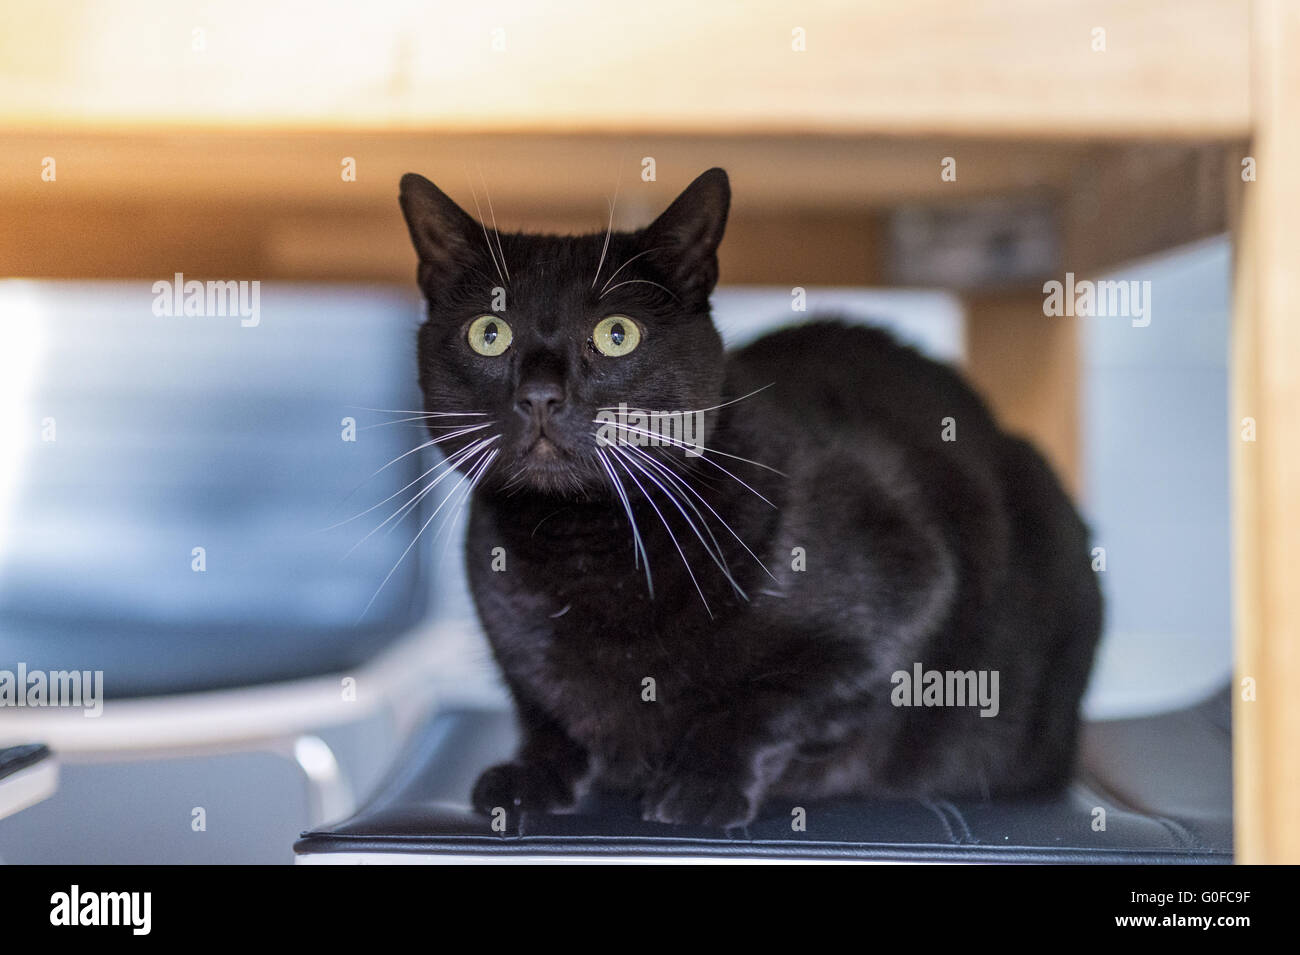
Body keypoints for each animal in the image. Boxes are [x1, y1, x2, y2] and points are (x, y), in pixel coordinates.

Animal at [400, 167, 1102, 826]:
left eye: (617, 334)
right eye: (489, 333)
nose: (541, 395)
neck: (585, 548)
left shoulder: (912, 589)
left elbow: (768, 701)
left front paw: (703, 785)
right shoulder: (511, 634)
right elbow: (543, 709)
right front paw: (531, 776)